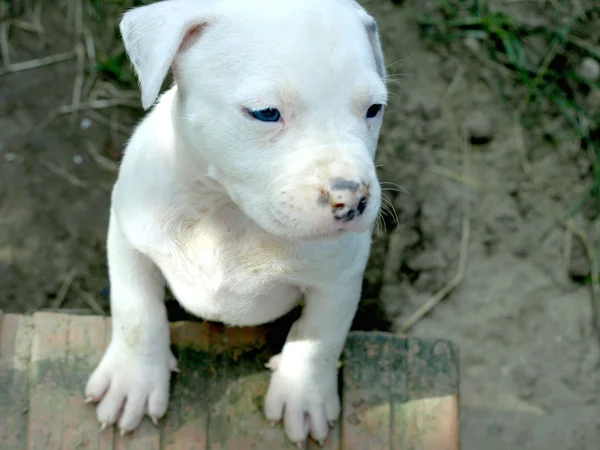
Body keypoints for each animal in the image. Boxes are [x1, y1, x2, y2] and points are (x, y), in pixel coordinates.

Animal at [84, 0, 386, 444]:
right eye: (266, 113)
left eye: (374, 110)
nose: (352, 198)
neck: (227, 212)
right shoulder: (128, 238)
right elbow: (136, 311)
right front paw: (133, 381)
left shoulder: (339, 280)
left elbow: (319, 336)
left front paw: (303, 395)